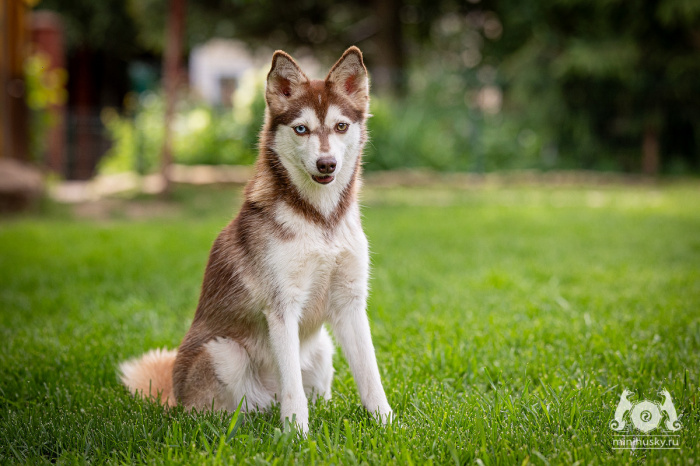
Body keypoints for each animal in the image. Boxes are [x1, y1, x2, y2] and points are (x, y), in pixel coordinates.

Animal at [121, 46, 394, 434]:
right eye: (301, 129)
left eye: (341, 126)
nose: (326, 164)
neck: (320, 219)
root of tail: (174, 397)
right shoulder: (281, 306)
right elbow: (292, 386)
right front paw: (297, 435)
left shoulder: (351, 302)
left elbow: (370, 376)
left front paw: (388, 425)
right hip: (224, 352)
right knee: (222, 412)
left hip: (323, 347)